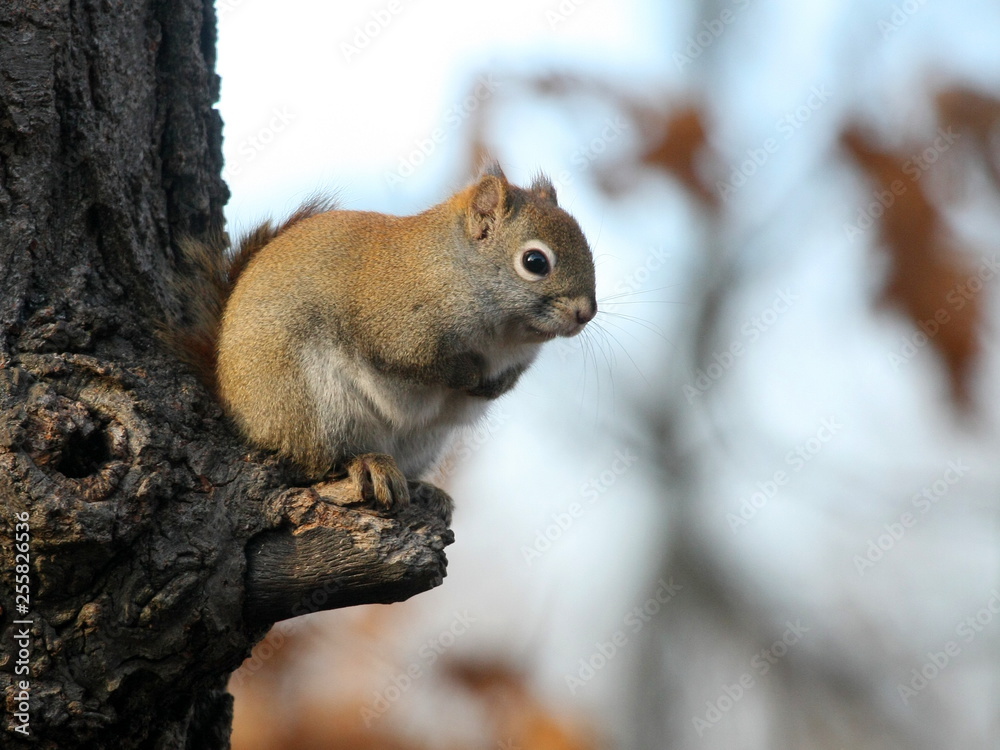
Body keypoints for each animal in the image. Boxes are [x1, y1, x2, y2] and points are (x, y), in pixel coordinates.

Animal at [162, 163, 596, 516]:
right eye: (535, 262)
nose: (586, 313)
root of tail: (238, 410)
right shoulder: (393, 325)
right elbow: (421, 361)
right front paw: (469, 374)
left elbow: (507, 379)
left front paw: (494, 386)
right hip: (314, 407)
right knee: (317, 462)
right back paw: (366, 464)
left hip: (424, 439)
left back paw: (424, 490)